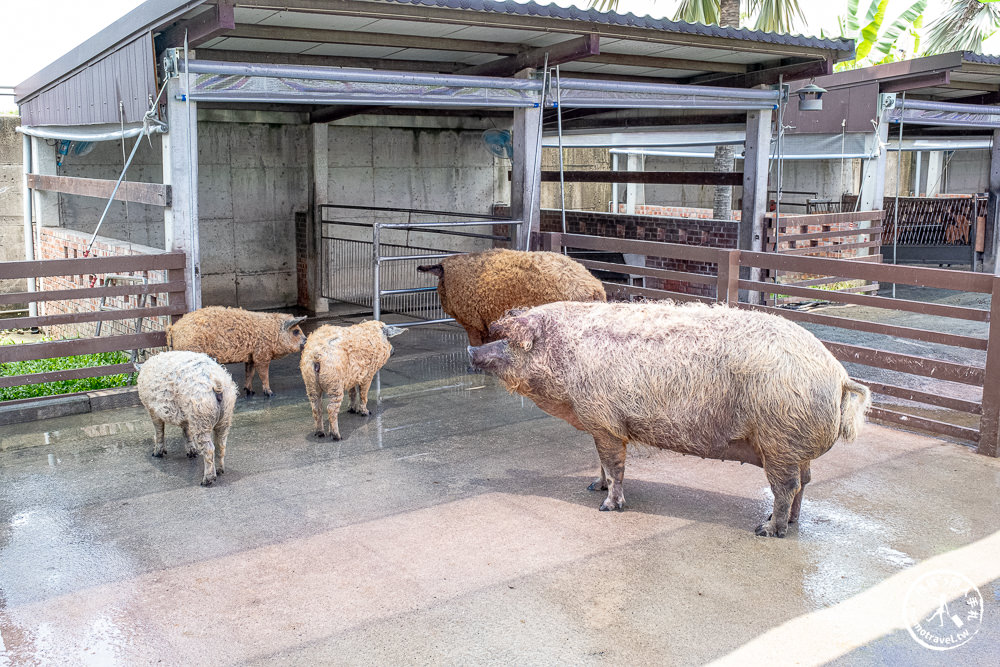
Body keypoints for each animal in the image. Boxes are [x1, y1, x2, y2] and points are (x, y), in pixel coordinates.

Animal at [166, 306, 306, 396]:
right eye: (296, 331)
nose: (306, 340)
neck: (273, 333)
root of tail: (173, 328)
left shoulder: (251, 356)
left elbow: (250, 373)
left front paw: (250, 391)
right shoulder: (262, 355)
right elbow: (263, 374)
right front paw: (270, 394)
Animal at [468, 302, 868, 536]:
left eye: (509, 343)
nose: (472, 349)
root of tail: (838, 375)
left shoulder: (605, 419)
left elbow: (614, 465)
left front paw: (606, 507)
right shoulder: (602, 424)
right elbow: (602, 463)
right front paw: (592, 488)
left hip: (779, 440)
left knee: (787, 487)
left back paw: (767, 529)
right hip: (792, 447)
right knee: (805, 483)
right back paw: (792, 523)